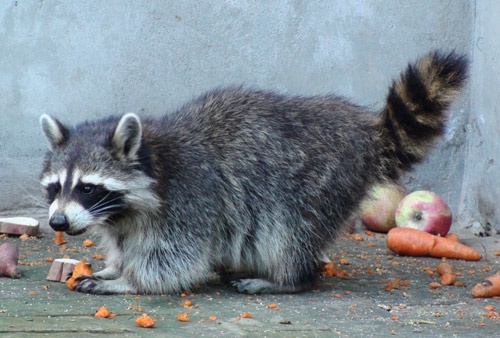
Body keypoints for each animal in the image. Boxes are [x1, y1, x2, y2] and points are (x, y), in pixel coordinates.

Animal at [40, 51, 468, 294]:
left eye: (88, 188)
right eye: (55, 188)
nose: (58, 222)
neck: (153, 160)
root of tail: (362, 132)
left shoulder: (190, 195)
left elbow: (176, 259)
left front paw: (129, 281)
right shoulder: (126, 218)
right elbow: (126, 243)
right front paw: (114, 267)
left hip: (316, 184)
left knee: (288, 233)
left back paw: (291, 279)